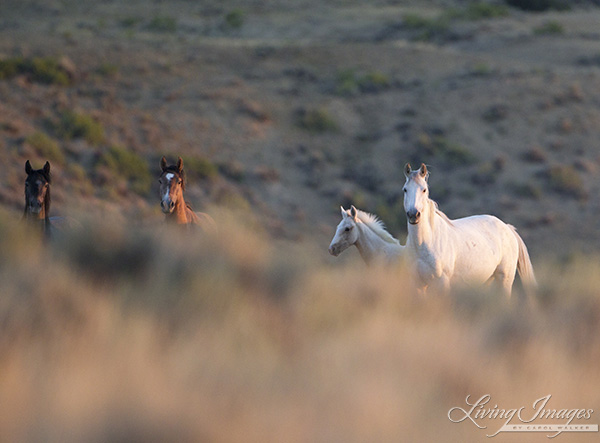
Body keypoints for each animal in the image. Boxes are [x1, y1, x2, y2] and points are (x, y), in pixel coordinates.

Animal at [404, 164, 536, 298]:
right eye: (405, 189)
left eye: (424, 189)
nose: (413, 215)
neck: (425, 243)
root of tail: (507, 227)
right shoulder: (417, 285)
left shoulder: (442, 283)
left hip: (504, 280)